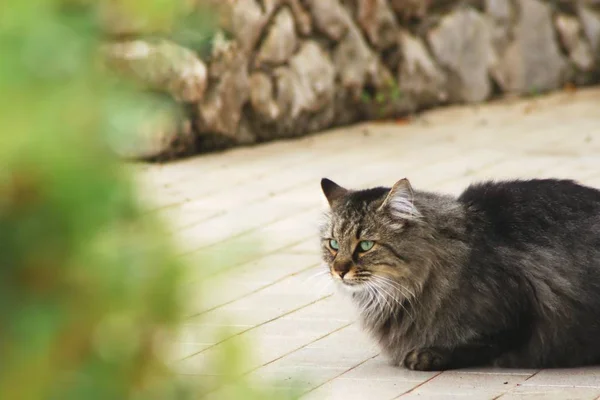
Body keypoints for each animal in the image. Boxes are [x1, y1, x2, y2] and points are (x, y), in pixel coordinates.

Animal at [322, 177, 600, 370]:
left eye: (365, 246)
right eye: (333, 244)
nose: (339, 271)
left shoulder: (520, 312)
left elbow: (480, 344)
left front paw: (428, 355)